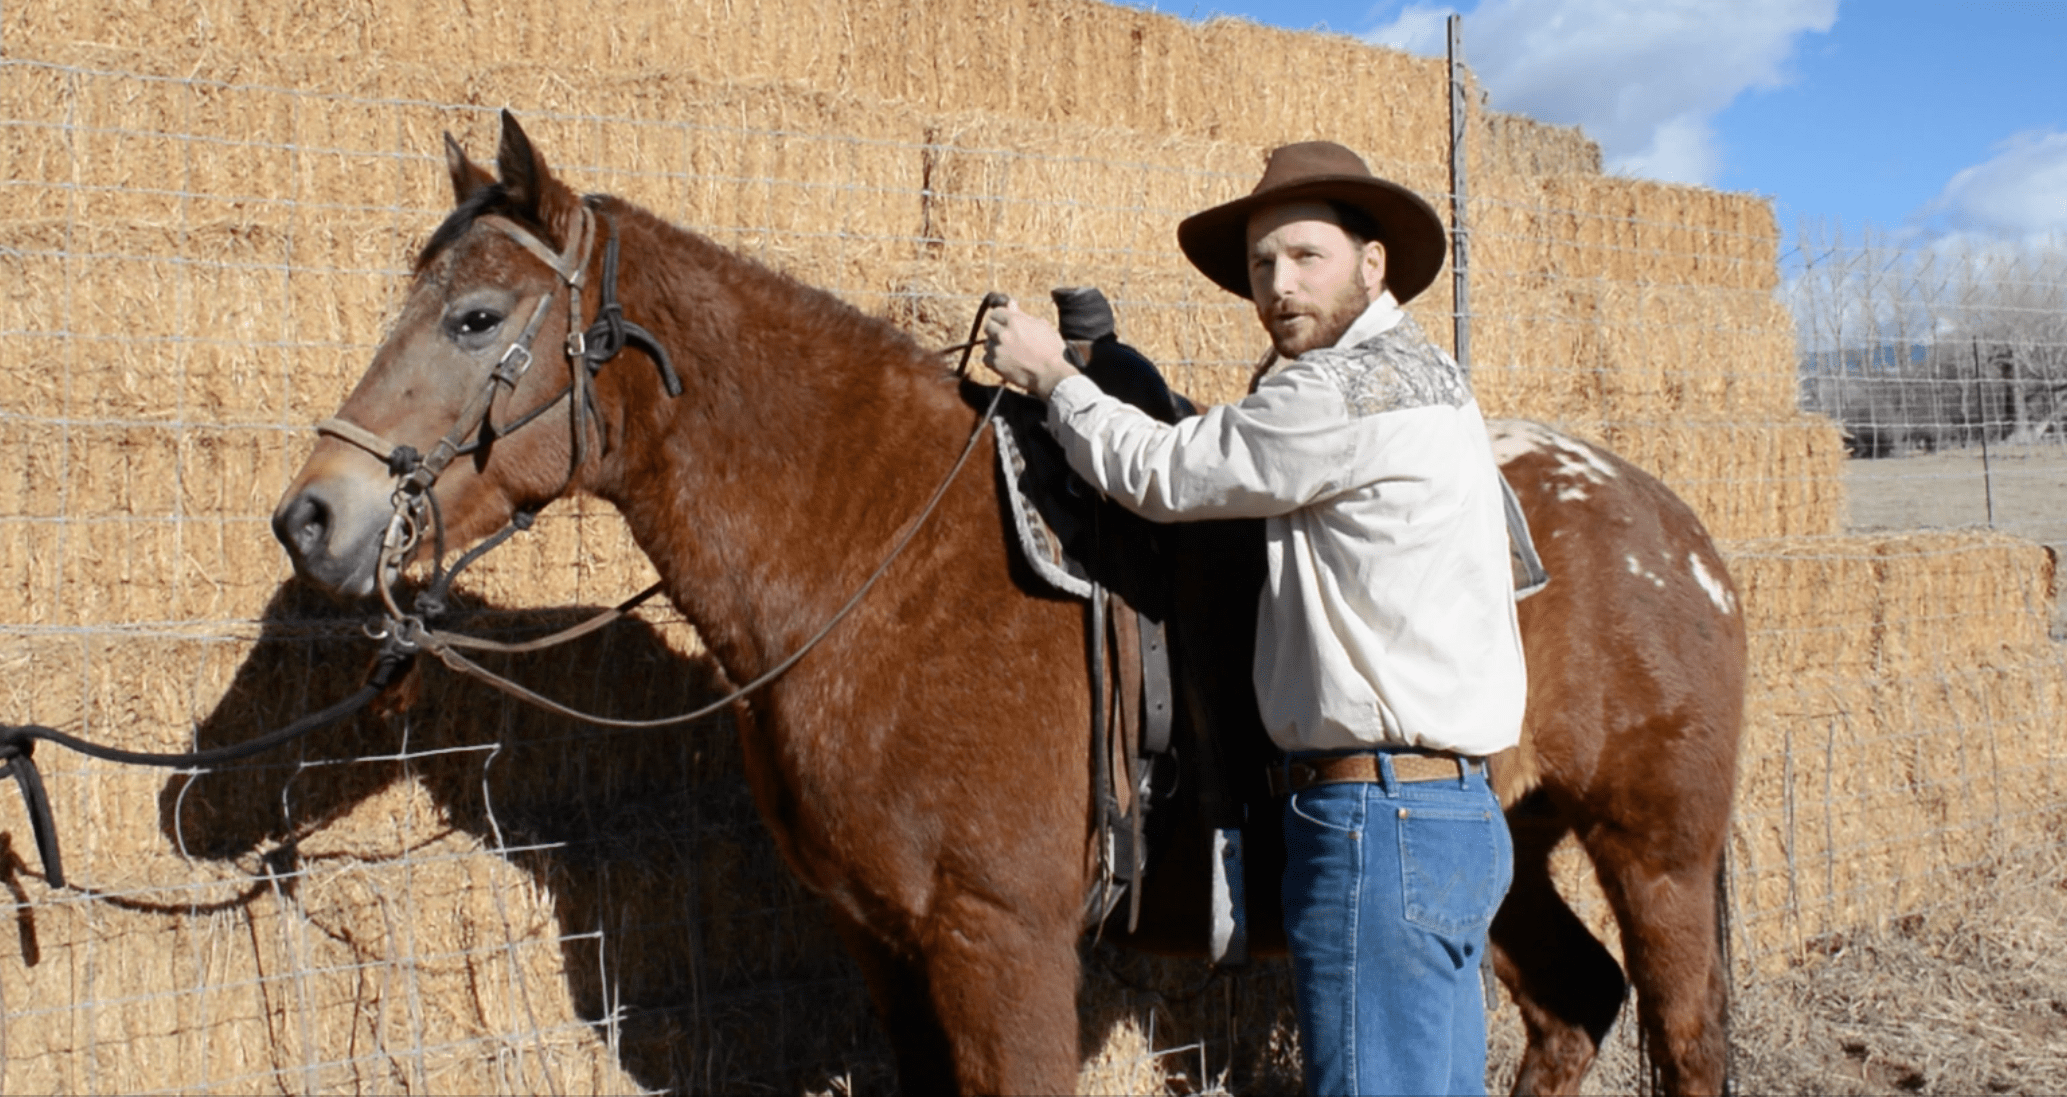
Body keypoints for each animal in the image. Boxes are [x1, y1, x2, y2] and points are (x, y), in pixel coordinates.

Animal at [271, 111, 1744, 1095]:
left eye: (474, 317)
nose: (312, 518)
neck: (879, 563)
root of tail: (1671, 527)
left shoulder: (1002, 947)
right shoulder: (887, 948)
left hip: (1654, 850)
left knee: (1680, 1032)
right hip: (1509, 850)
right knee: (1571, 1006)